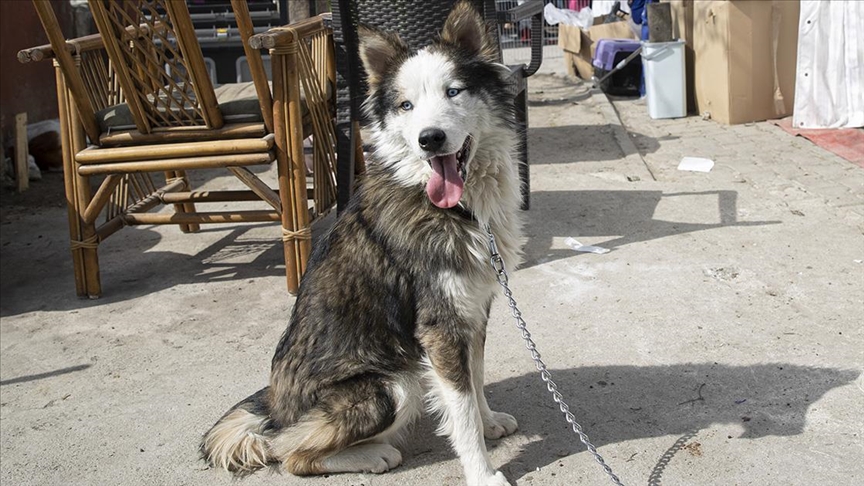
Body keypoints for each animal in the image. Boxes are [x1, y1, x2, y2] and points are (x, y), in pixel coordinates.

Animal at [202, 1, 524, 484]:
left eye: (454, 92)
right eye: (406, 105)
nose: (429, 139)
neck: (452, 206)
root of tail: (274, 407)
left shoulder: (473, 309)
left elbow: (476, 377)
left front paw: (488, 423)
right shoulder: (440, 325)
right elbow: (461, 407)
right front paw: (483, 472)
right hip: (397, 382)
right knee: (287, 451)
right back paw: (372, 455)